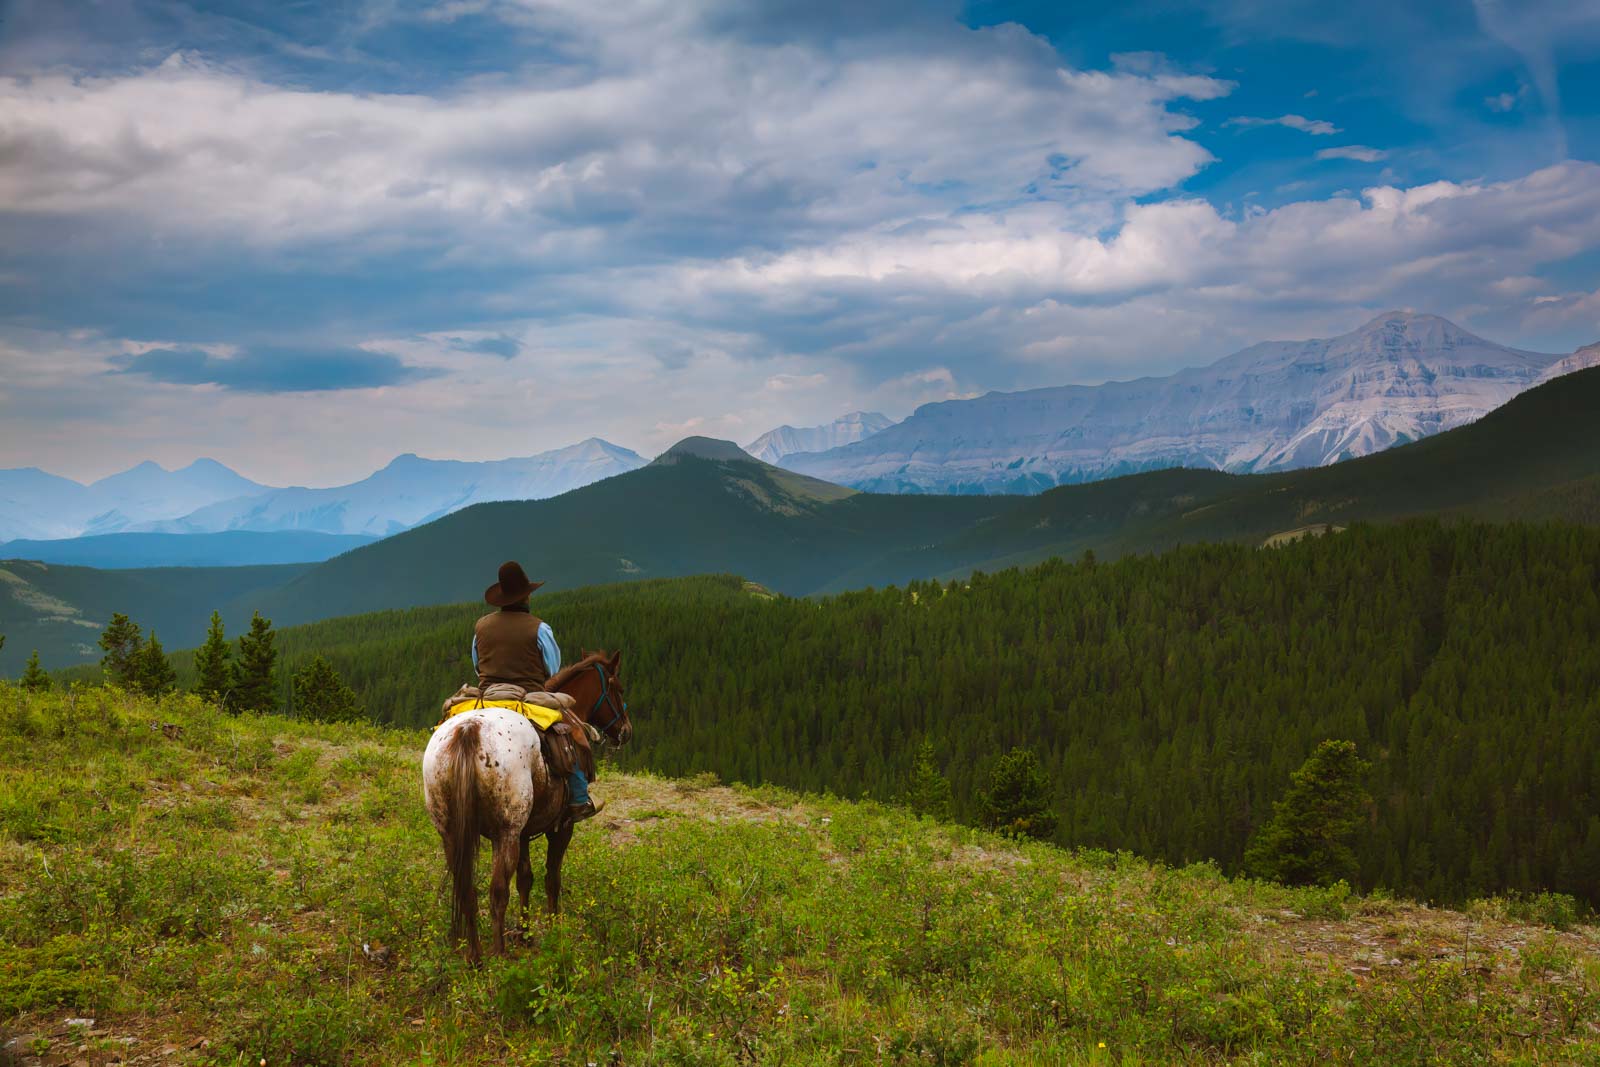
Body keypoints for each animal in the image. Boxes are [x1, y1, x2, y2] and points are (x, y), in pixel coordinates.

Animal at [422, 646, 633, 966]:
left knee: (466, 888)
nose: (626, 731)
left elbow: (525, 879)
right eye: (617, 688)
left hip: (450, 832)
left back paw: (474, 956)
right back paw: (498, 954)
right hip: (505, 833)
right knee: (497, 890)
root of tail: (470, 731)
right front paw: (554, 930)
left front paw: (525, 933)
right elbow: (551, 877)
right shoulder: (561, 827)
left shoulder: (523, 833)